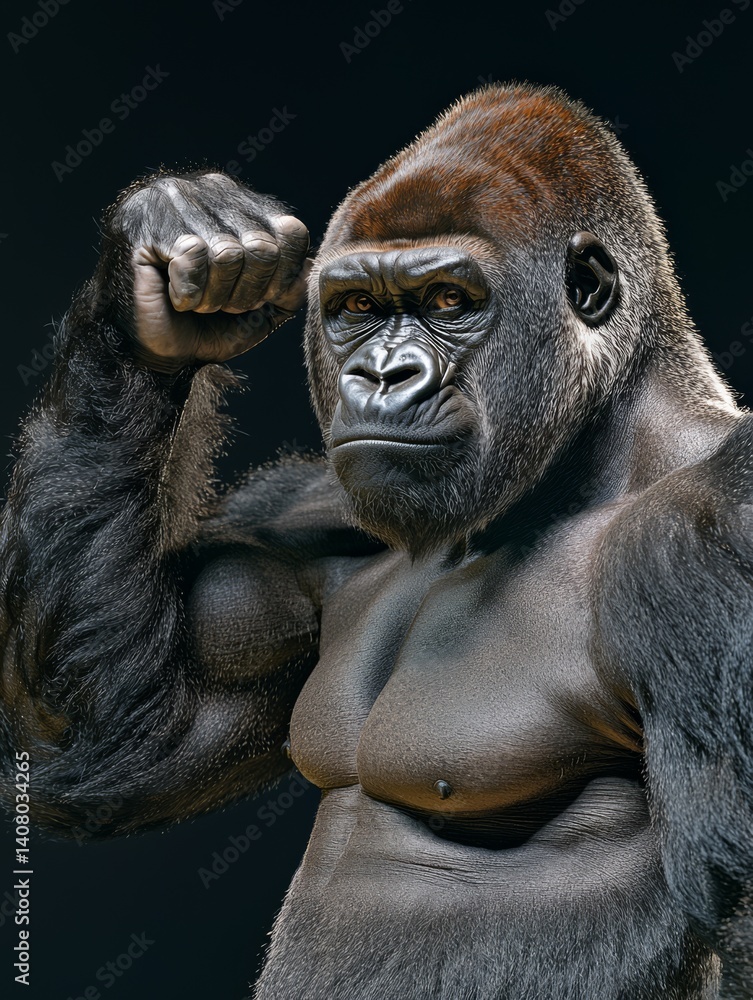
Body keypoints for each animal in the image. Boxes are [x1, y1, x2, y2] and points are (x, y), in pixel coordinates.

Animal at [1, 82, 752, 998]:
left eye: (448, 302)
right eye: (357, 309)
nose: (381, 375)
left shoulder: (715, 531)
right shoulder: (302, 510)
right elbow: (125, 742)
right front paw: (152, 278)